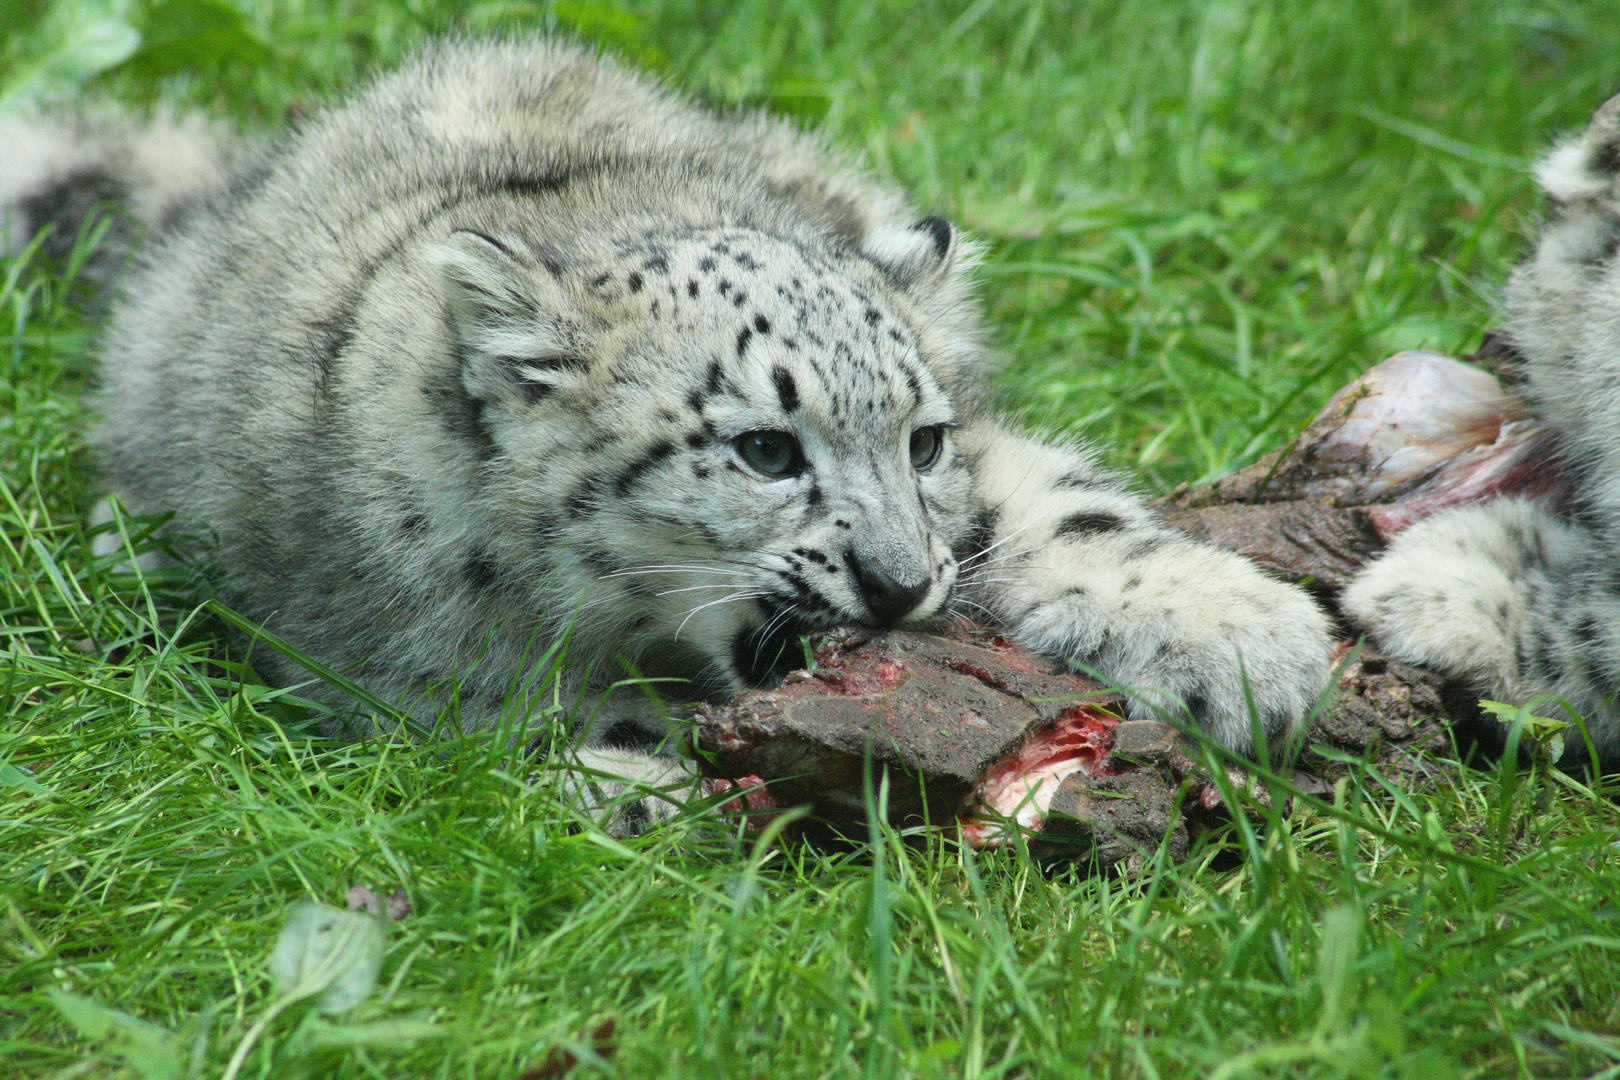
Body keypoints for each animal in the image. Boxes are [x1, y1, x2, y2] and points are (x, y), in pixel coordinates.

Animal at [6, 38, 1334, 822]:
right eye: (764, 449)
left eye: (923, 441)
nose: (901, 583)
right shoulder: (398, 665)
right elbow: (537, 716)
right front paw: (649, 776)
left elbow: (1058, 502)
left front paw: (1245, 641)